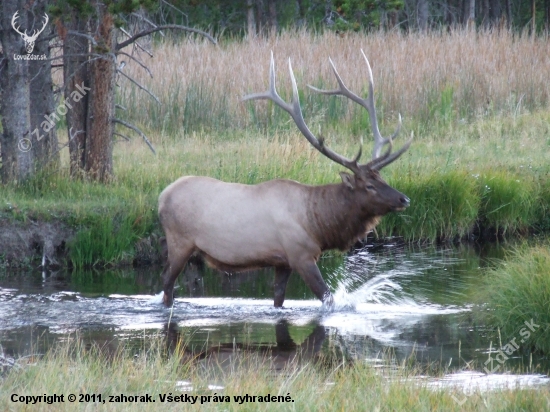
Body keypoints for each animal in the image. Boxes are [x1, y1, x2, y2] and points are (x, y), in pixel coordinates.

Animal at [157, 51, 412, 308]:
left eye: (382, 178)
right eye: (369, 186)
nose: (404, 199)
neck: (318, 224)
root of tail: (161, 196)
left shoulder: (282, 262)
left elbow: (279, 298)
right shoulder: (300, 254)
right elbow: (327, 297)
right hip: (180, 241)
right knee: (167, 282)